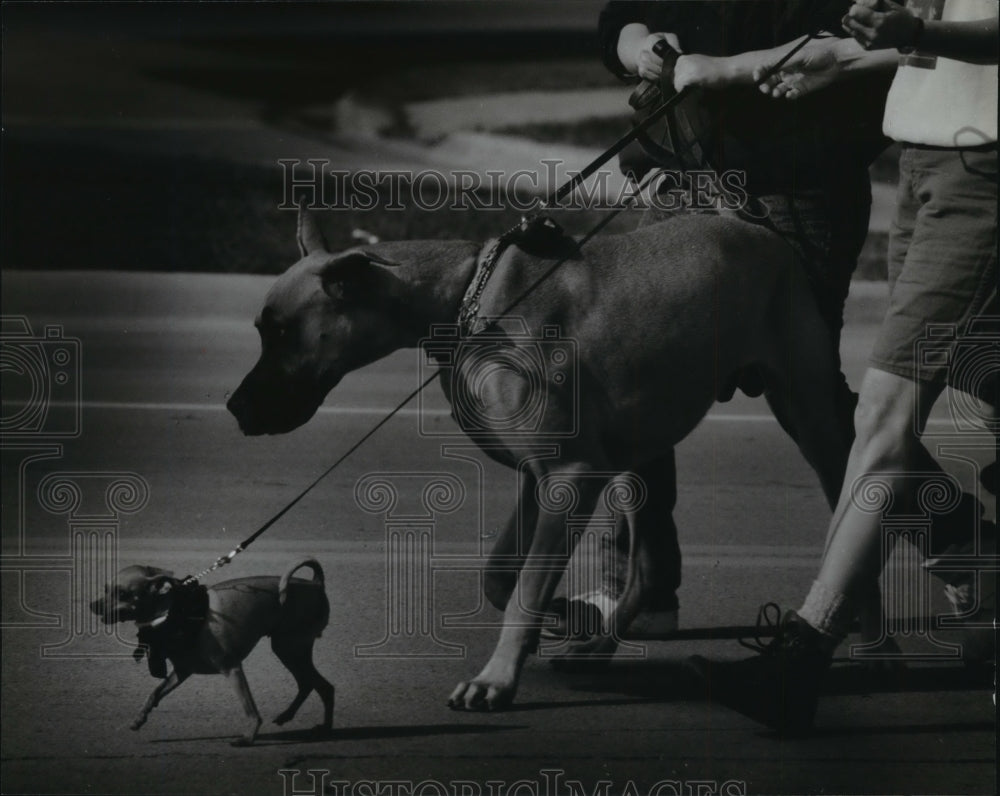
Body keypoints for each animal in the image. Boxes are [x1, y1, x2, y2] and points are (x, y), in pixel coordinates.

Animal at [91, 556, 332, 744]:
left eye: (122, 593)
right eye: (105, 589)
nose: (93, 605)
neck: (172, 614)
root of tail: (316, 584)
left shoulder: (232, 669)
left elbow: (250, 709)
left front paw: (249, 737)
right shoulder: (182, 671)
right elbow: (155, 692)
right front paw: (140, 718)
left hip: (290, 649)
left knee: (320, 685)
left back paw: (325, 729)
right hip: (290, 651)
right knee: (313, 684)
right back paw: (296, 719)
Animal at [229, 208, 852, 712]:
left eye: (281, 332)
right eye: (261, 330)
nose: (234, 407)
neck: (466, 297)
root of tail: (761, 230)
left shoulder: (569, 476)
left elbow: (525, 588)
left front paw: (497, 679)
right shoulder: (540, 479)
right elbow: (502, 578)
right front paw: (556, 616)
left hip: (811, 417)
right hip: (640, 451)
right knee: (649, 564)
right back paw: (596, 647)